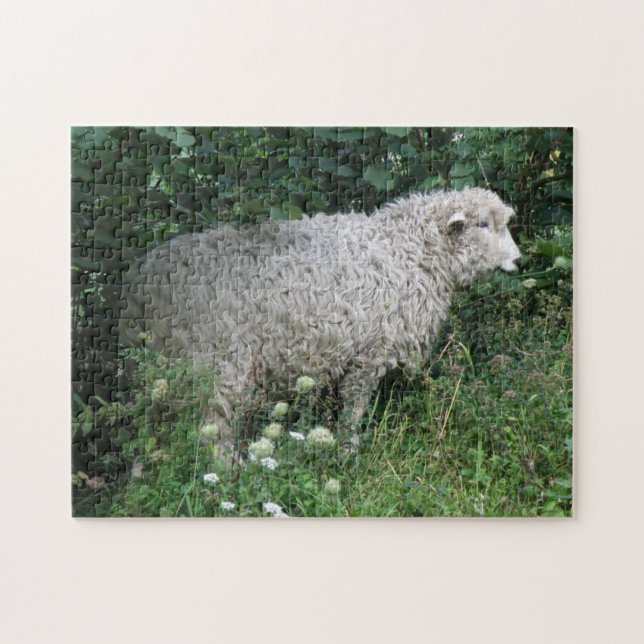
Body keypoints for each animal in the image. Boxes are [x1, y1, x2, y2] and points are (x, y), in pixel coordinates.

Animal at [120, 187, 521, 446]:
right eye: (483, 225)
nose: (519, 261)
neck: (410, 250)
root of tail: (142, 281)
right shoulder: (369, 354)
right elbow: (353, 413)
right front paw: (348, 452)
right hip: (218, 362)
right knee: (215, 428)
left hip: (156, 367)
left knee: (148, 426)